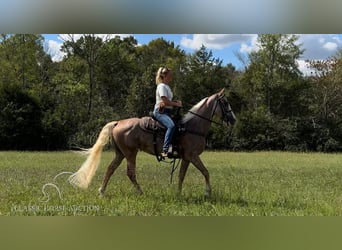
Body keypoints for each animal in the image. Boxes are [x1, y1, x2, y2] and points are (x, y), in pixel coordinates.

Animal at [69, 89, 235, 198]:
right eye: (225, 103)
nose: (233, 120)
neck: (192, 127)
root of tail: (117, 123)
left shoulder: (187, 158)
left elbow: (181, 176)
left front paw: (178, 193)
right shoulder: (193, 156)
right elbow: (206, 172)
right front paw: (208, 193)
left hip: (120, 153)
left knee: (110, 169)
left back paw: (102, 192)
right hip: (131, 153)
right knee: (130, 173)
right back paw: (141, 192)